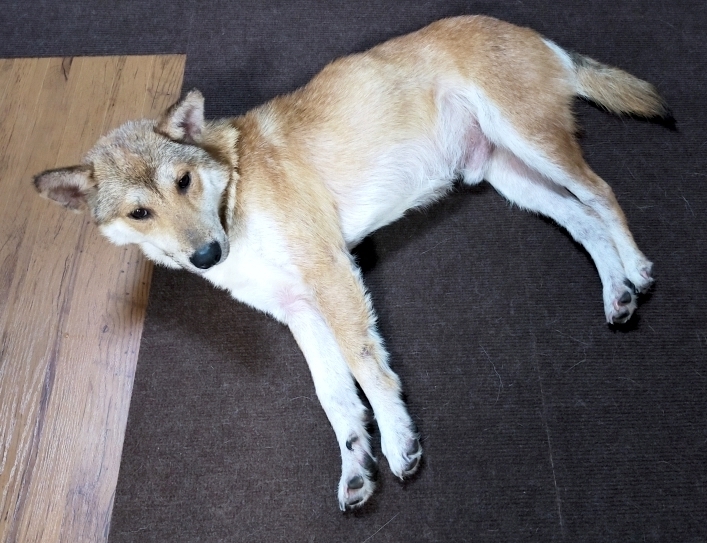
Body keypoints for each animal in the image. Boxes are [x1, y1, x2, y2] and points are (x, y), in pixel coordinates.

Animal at [34, 15, 671, 510]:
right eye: (140, 213)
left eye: (184, 181)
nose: (208, 255)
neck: (234, 189)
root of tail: (525, 30)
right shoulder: (300, 311)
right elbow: (335, 397)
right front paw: (355, 466)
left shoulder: (331, 275)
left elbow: (368, 369)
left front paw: (397, 441)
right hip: (510, 175)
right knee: (583, 220)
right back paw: (616, 292)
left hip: (532, 142)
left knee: (602, 195)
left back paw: (636, 267)